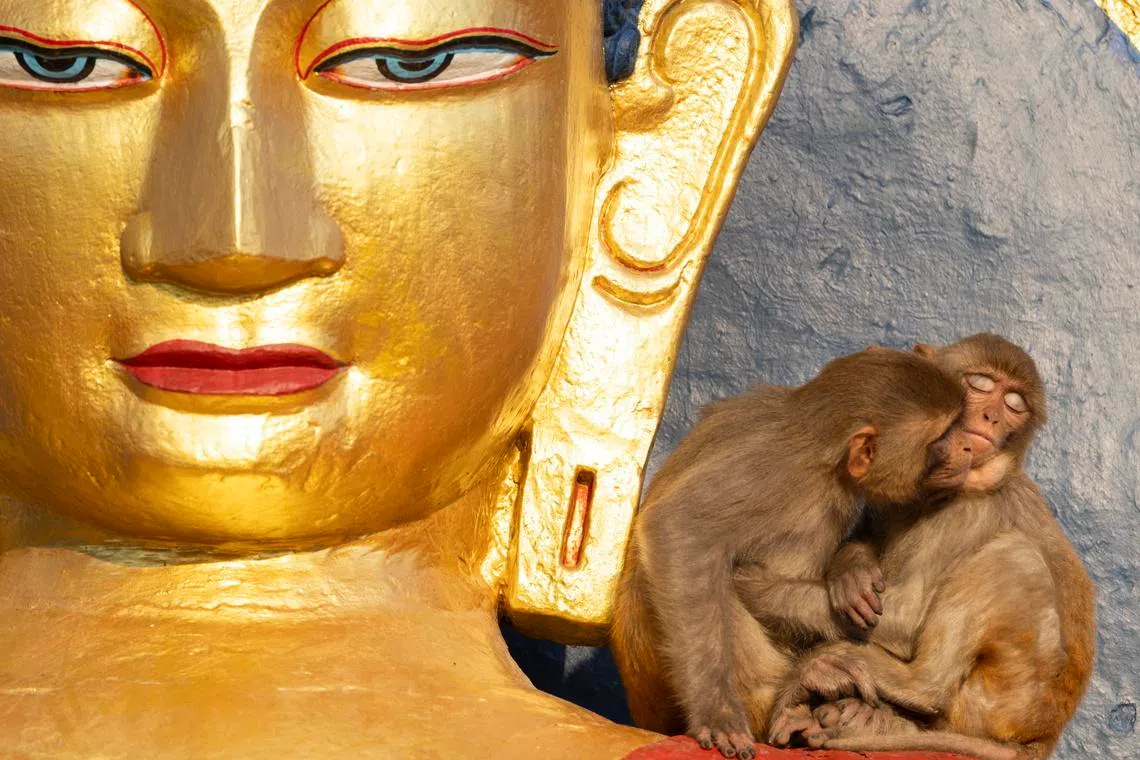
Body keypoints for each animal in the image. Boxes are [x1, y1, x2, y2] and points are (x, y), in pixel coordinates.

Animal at [611, 347, 981, 760]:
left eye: (957, 427)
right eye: (942, 437)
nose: (967, 447)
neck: (823, 454)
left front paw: (851, 573)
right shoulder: (775, 472)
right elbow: (679, 527)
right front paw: (714, 707)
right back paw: (792, 696)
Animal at [765, 334, 1096, 760]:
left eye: (1014, 404)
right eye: (981, 384)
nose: (992, 416)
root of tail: (1045, 736)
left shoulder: (968, 513)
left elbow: (904, 619)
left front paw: (748, 583)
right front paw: (852, 571)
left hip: (1001, 701)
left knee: (1013, 557)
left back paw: (897, 685)